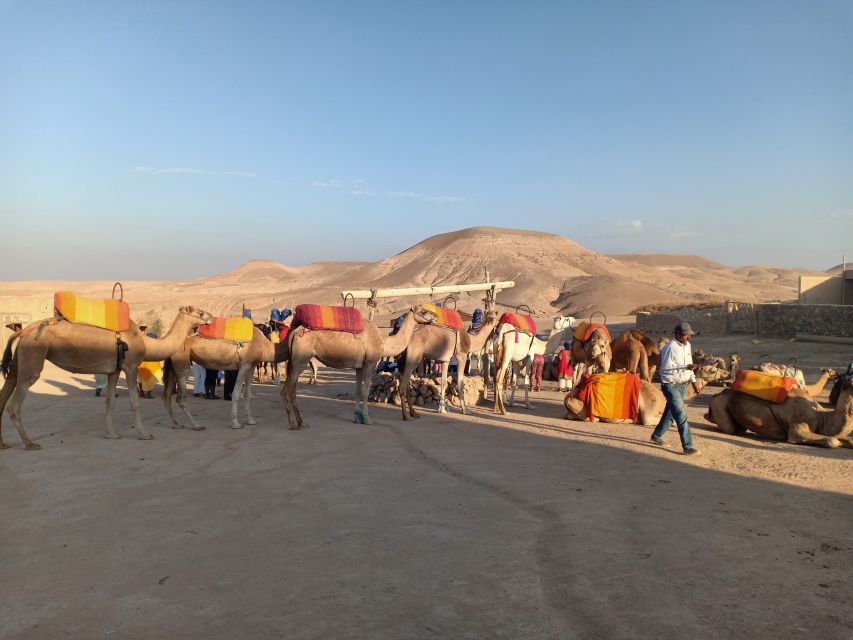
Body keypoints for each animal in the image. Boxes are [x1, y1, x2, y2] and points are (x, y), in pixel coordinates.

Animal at [0, 306, 211, 450]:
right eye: (199, 312)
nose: (210, 317)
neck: (143, 339)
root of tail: (21, 331)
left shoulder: (114, 370)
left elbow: (110, 400)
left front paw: (112, 434)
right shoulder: (130, 366)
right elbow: (134, 402)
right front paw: (144, 434)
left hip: (20, 358)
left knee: (7, 389)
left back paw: (4, 444)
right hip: (33, 355)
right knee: (14, 404)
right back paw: (30, 443)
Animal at [282, 306, 440, 430]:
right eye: (423, 311)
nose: (436, 316)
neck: (384, 341)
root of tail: (294, 332)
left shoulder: (359, 366)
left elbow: (357, 390)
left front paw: (357, 418)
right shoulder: (370, 363)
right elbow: (365, 391)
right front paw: (368, 420)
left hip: (296, 361)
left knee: (292, 390)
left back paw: (302, 423)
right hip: (300, 359)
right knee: (286, 390)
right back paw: (293, 424)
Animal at [704, 378, 852, 448]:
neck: (822, 417)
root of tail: (717, 395)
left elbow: (847, 440)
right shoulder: (797, 427)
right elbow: (832, 440)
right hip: (719, 405)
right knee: (731, 428)